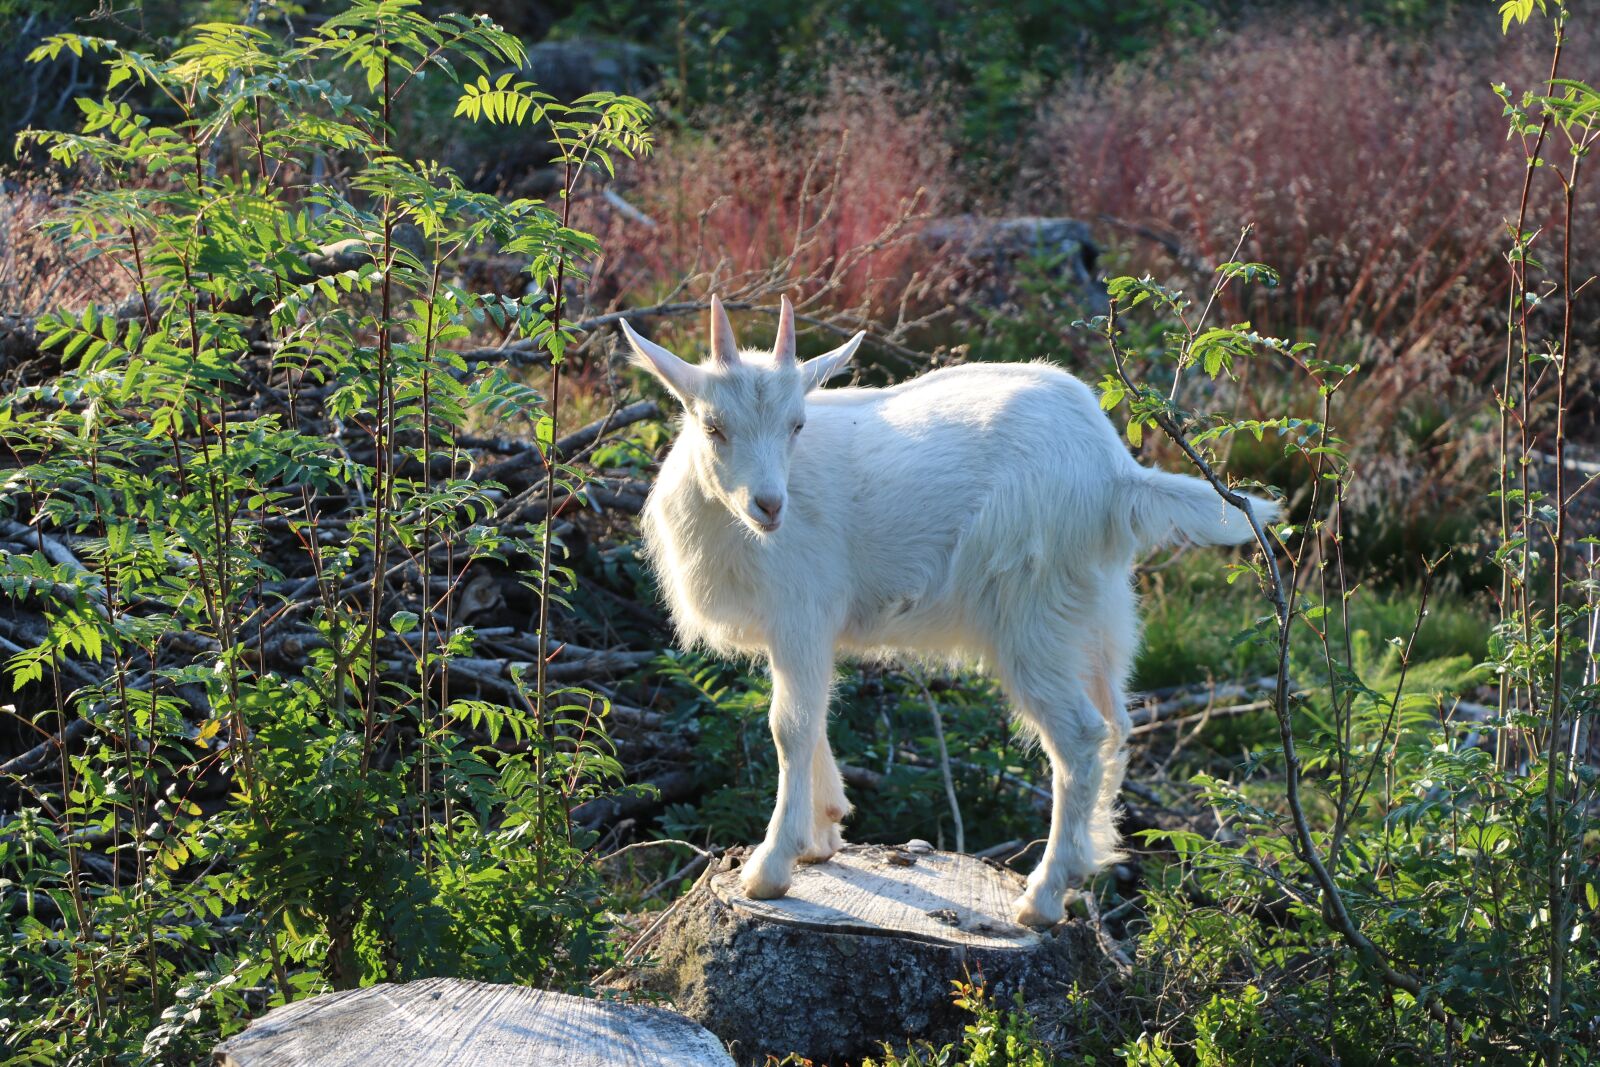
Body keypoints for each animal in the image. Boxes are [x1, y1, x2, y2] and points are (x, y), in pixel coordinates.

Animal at [620, 296, 1278, 926]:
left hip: (1032, 616)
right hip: (1099, 615)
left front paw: (771, 867)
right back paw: (1087, 862)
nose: (769, 506)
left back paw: (1042, 897)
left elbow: (790, 726)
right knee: (1117, 722)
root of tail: (1118, 473)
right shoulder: (803, 630)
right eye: (713, 426)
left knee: (1081, 736)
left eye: (796, 424)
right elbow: (814, 717)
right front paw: (823, 833)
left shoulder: (801, 613)